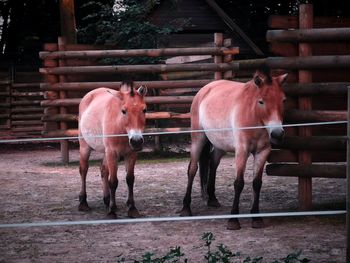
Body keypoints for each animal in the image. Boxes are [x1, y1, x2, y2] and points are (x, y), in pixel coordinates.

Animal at [77, 82, 147, 219]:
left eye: (144, 109)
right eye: (124, 111)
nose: (136, 141)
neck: (121, 127)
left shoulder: (131, 154)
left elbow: (130, 179)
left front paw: (132, 208)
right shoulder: (112, 153)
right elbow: (113, 181)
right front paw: (112, 212)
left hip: (105, 152)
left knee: (103, 170)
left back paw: (106, 200)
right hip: (85, 147)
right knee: (83, 170)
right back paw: (83, 202)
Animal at [180, 68, 288, 231]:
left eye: (283, 100)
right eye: (261, 101)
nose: (277, 134)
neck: (254, 116)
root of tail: (205, 89)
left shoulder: (262, 152)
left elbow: (257, 183)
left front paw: (256, 217)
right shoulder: (242, 152)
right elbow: (239, 183)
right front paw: (233, 220)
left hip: (220, 144)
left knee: (213, 163)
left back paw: (212, 199)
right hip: (198, 139)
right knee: (192, 170)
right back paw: (186, 208)